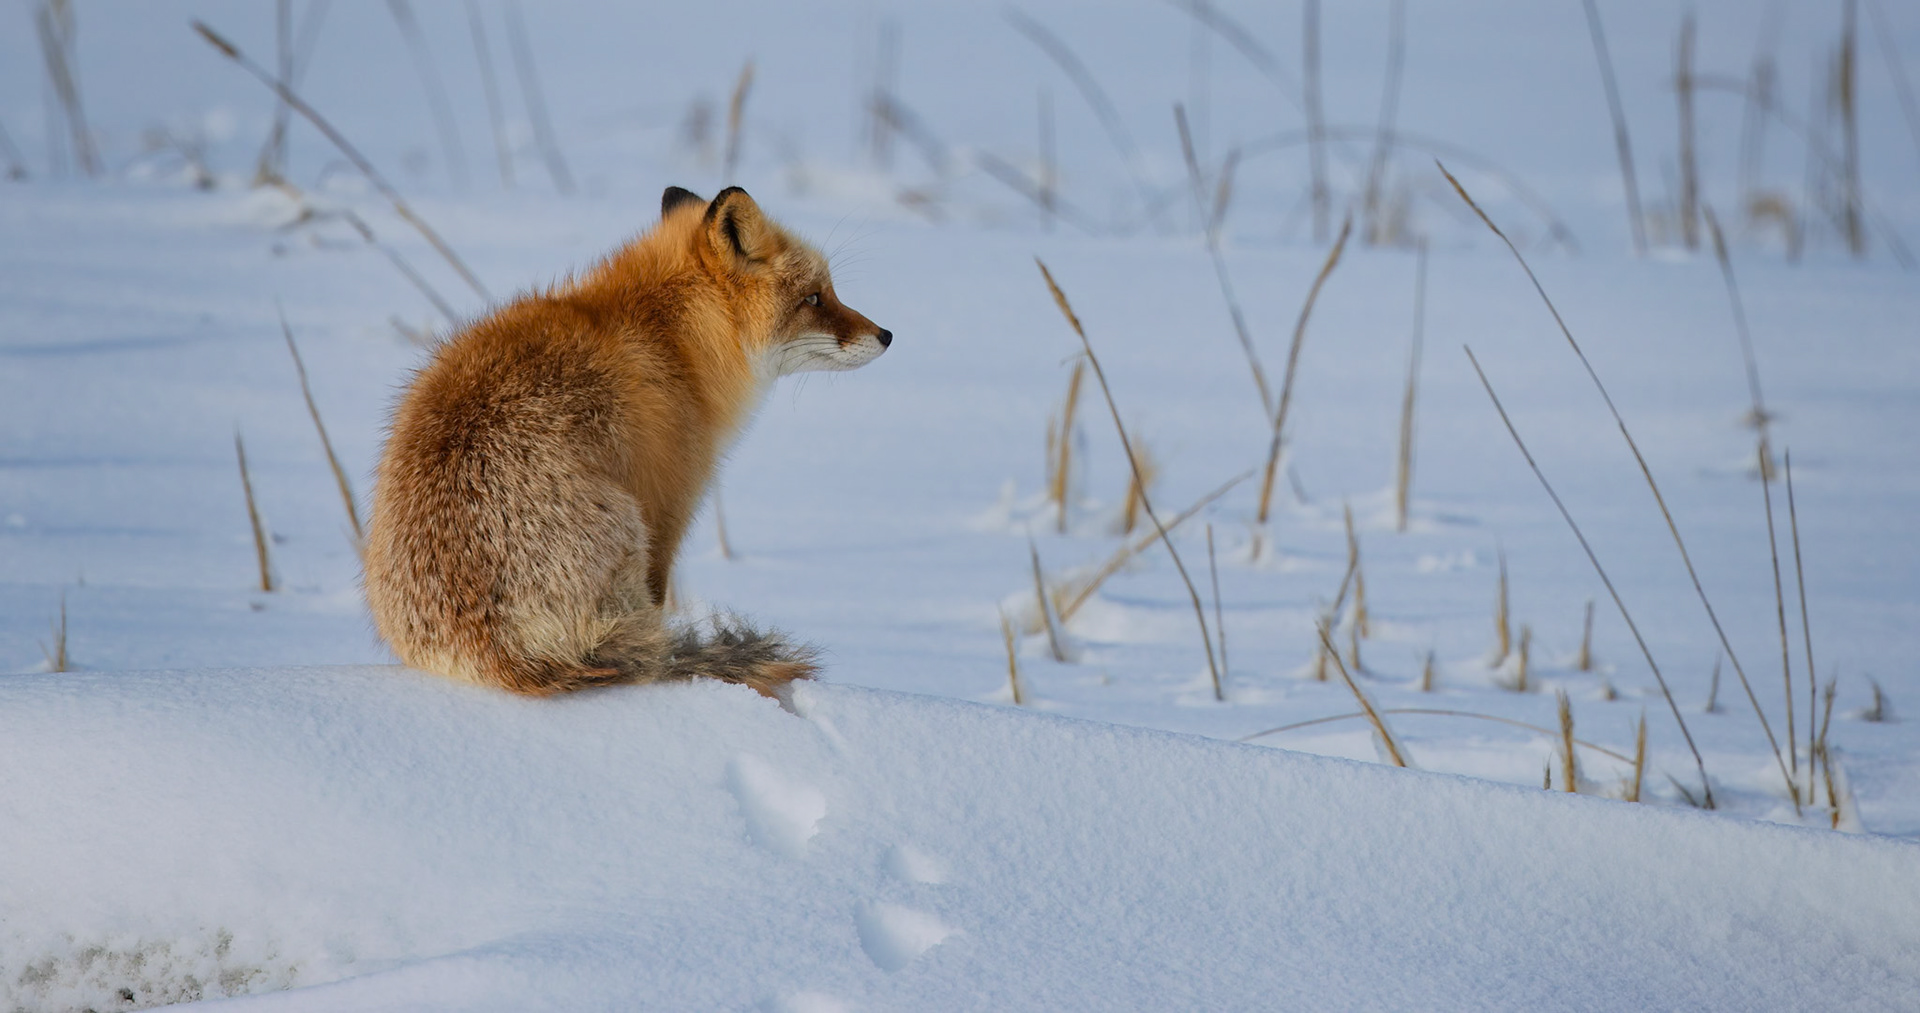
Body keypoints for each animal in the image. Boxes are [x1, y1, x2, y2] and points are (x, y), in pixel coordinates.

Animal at [363, 185, 891, 697]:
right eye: (815, 299)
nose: (886, 334)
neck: (675, 340)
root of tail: (500, 654)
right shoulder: (669, 503)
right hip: (628, 528)